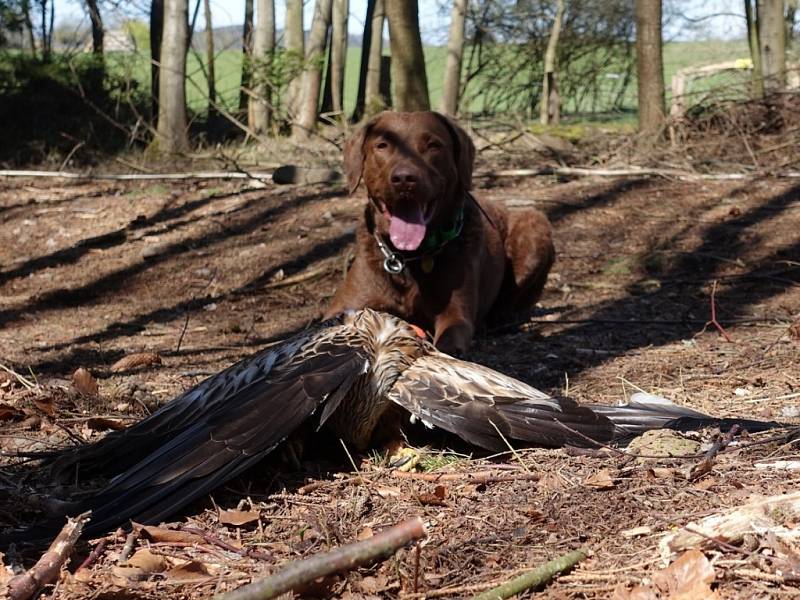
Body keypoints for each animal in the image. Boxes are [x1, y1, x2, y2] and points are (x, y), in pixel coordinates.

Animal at [324, 112, 556, 354]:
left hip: (533, 228)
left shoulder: (456, 313)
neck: (407, 257)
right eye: (382, 145)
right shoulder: (346, 303)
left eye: (433, 145)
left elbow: (449, 338)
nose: (404, 178)